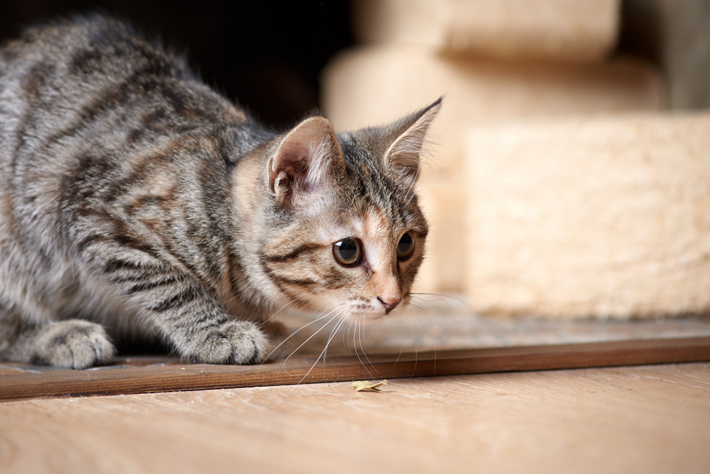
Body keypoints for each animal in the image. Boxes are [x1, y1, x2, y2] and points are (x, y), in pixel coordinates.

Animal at [0, 13, 442, 370]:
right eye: (347, 251)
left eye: (405, 245)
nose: (393, 299)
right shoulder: (97, 214)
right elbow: (170, 285)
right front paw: (215, 331)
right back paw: (59, 336)